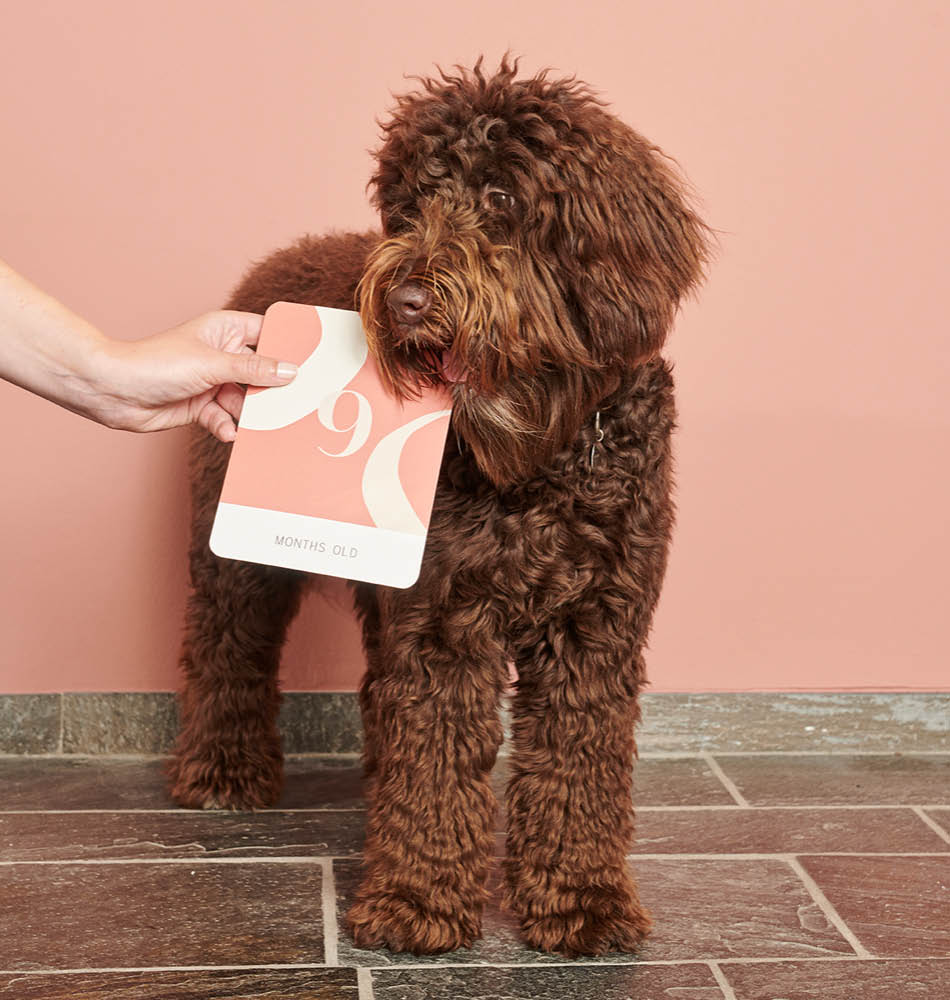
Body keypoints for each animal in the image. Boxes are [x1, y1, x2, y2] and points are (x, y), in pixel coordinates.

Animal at [171, 58, 712, 956]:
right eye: (411, 207)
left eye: (500, 197)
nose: (408, 301)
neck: (535, 461)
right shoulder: (443, 617)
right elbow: (435, 749)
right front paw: (416, 900)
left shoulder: (597, 621)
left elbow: (578, 759)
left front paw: (582, 899)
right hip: (238, 554)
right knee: (226, 648)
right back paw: (223, 770)